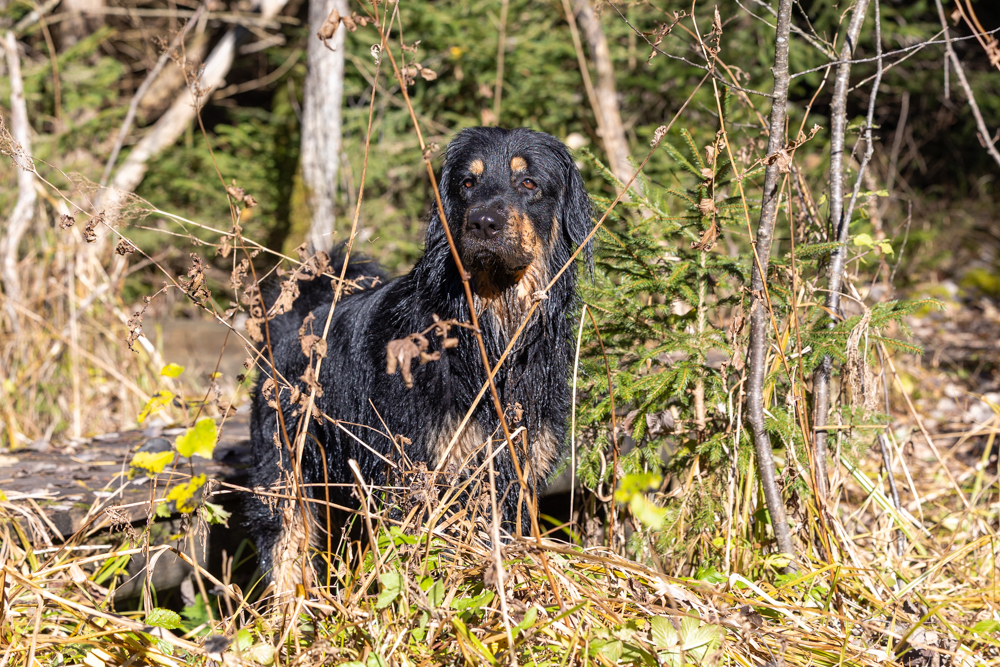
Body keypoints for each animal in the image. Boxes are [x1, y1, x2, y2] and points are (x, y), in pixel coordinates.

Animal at [246, 127, 593, 593]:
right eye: (467, 183)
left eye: (528, 183)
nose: (484, 222)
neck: (489, 336)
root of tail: (296, 324)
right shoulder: (417, 479)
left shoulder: (515, 476)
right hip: (287, 474)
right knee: (286, 554)